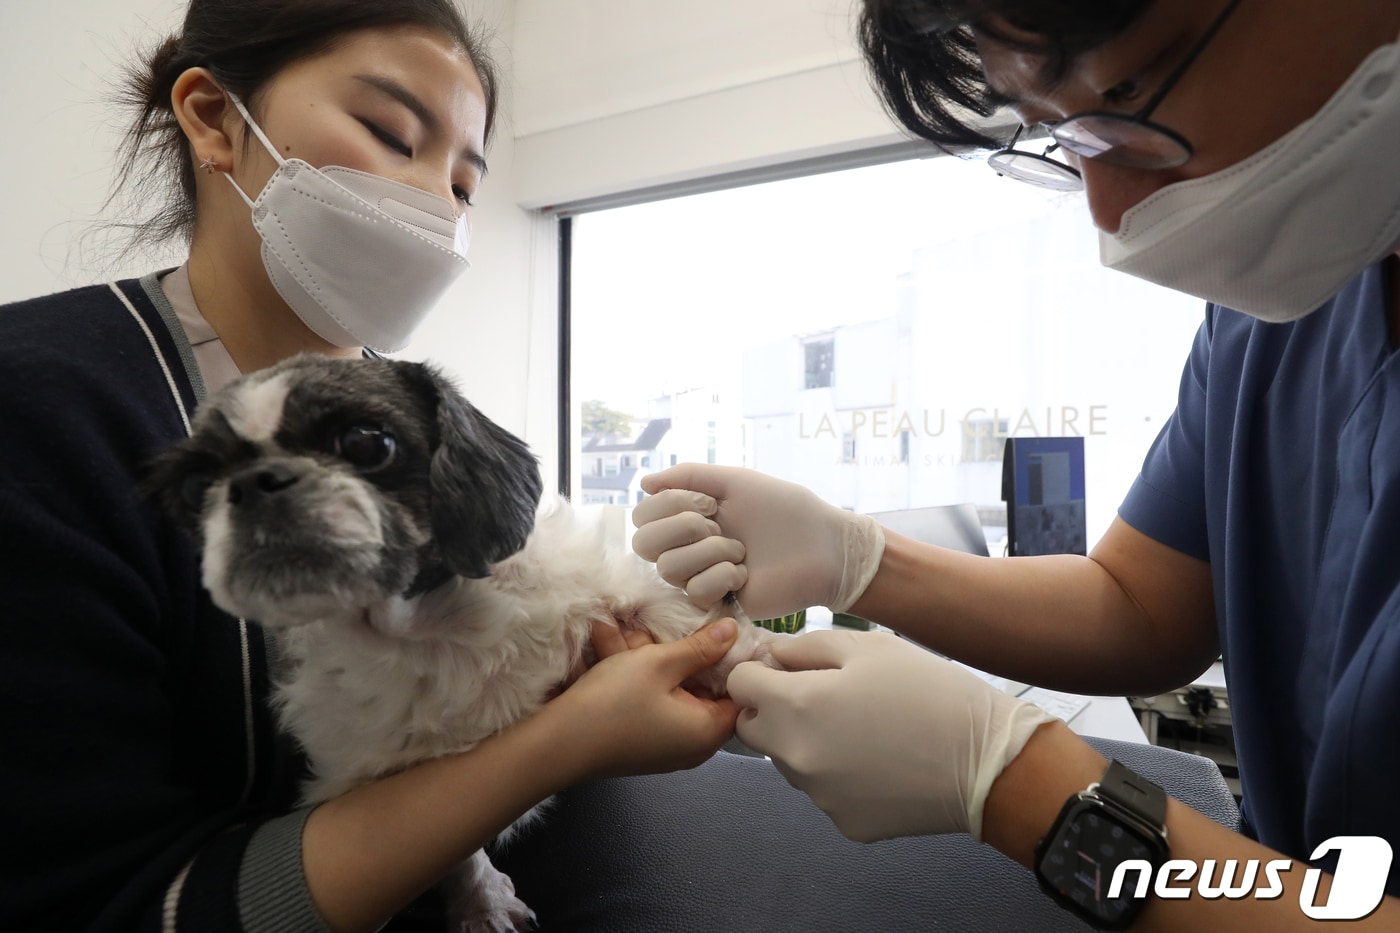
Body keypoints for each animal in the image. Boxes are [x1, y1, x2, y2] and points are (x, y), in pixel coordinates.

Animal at [146, 354, 784, 930]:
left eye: (366, 442)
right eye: (197, 487)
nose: (253, 483)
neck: (435, 625)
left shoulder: (595, 588)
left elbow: (663, 610)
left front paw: (741, 658)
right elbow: (457, 851)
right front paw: (482, 902)